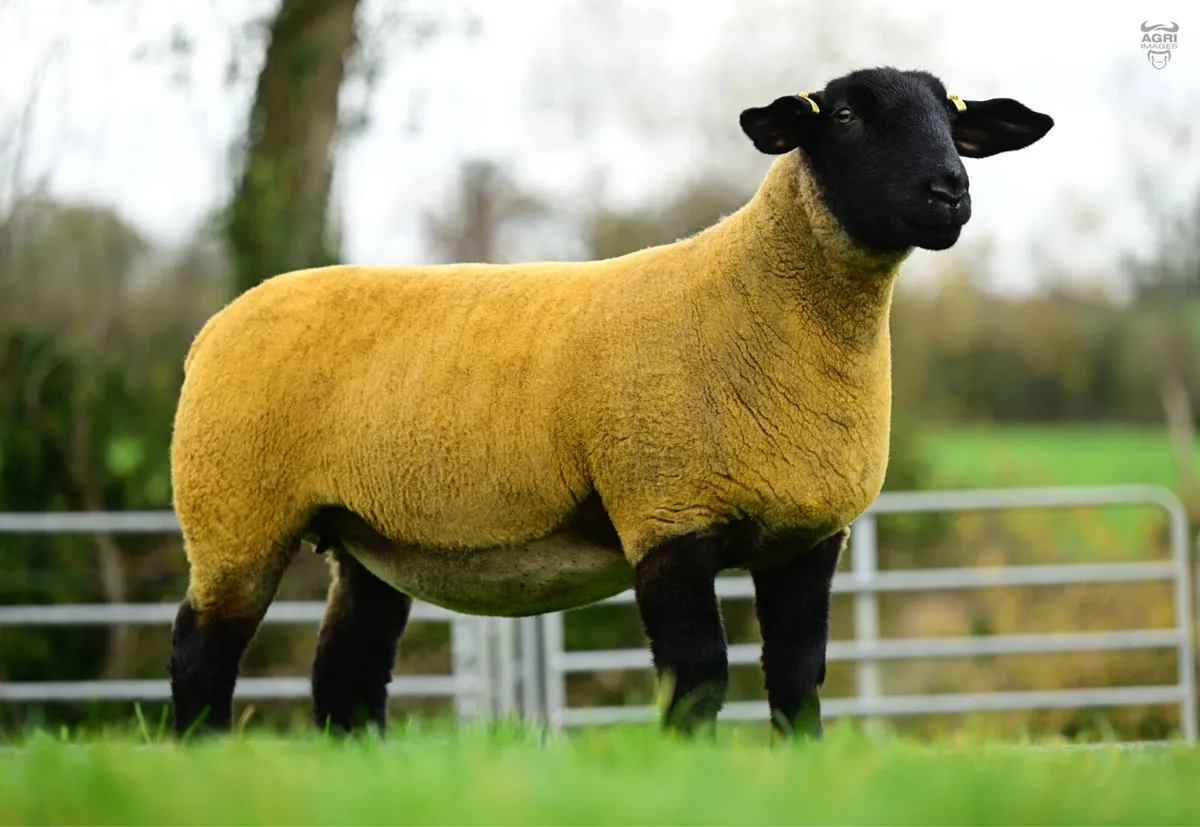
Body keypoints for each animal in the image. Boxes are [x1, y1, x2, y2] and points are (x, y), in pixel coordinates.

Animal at [167, 66, 1053, 740]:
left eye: (953, 117)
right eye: (841, 115)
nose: (950, 189)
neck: (755, 298)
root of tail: (218, 321)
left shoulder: (807, 535)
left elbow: (798, 678)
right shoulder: (665, 511)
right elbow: (697, 677)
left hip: (366, 534)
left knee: (345, 676)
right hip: (235, 510)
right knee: (200, 651)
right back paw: (199, 756)